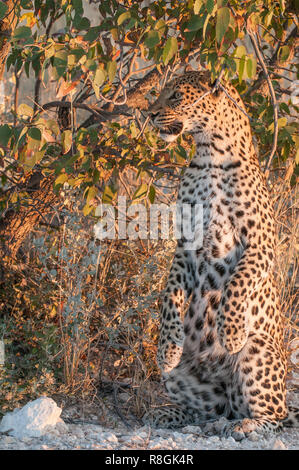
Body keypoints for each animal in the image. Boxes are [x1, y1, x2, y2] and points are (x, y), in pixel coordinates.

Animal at [144, 70, 299, 440]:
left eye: (175, 95)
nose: (149, 114)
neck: (209, 152)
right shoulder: (185, 246)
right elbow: (170, 294)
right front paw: (168, 346)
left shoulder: (260, 243)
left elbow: (237, 283)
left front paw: (230, 332)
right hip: (184, 381)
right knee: (208, 409)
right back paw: (171, 414)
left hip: (258, 355)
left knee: (274, 415)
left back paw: (245, 425)